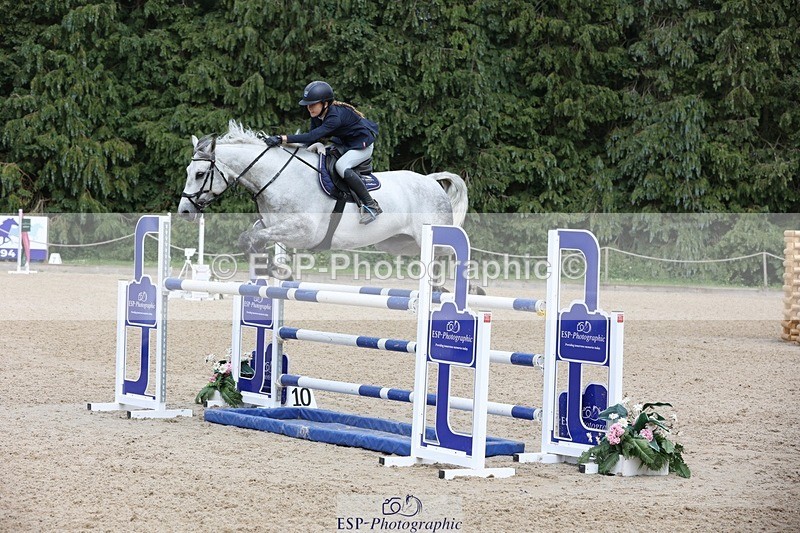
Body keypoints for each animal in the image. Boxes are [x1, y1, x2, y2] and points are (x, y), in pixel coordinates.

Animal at [178, 121, 468, 256]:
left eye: (200, 174)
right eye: (188, 173)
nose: (184, 212)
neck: (280, 177)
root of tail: (430, 180)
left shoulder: (303, 232)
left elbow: (255, 237)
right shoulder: (271, 224)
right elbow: (250, 236)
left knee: (452, 255)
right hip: (397, 243)